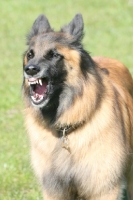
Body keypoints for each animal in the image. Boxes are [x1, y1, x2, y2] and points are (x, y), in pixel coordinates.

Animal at [22, 13, 133, 199]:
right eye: (30, 54)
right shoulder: (54, 190)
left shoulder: (104, 188)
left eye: (54, 55)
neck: (65, 130)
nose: (30, 70)